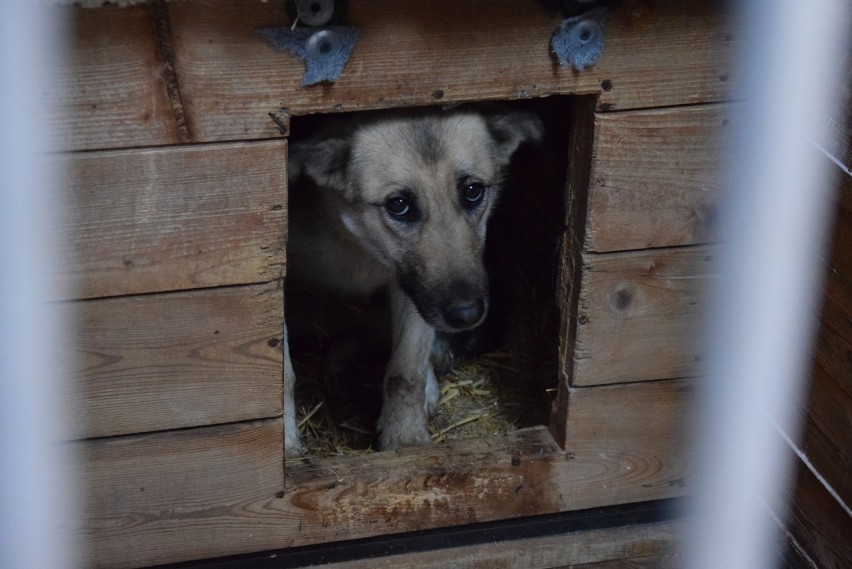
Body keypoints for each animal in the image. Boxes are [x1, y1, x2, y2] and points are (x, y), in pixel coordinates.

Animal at [282, 105, 544, 452]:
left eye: (473, 191)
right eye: (399, 205)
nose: (468, 315)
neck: (355, 245)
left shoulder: (414, 290)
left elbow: (405, 370)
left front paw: (404, 439)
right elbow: (283, 373)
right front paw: (286, 443)